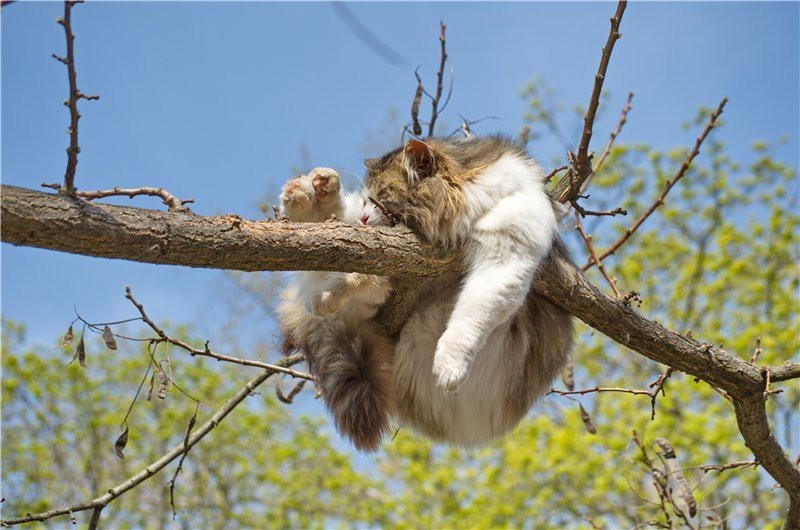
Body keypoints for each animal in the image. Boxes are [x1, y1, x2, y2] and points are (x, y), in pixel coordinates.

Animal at [278, 136, 572, 450]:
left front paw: (448, 367)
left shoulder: (504, 257)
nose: (366, 217)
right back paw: (313, 193)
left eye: (380, 195)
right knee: (335, 241)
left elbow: (469, 319)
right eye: (369, 199)